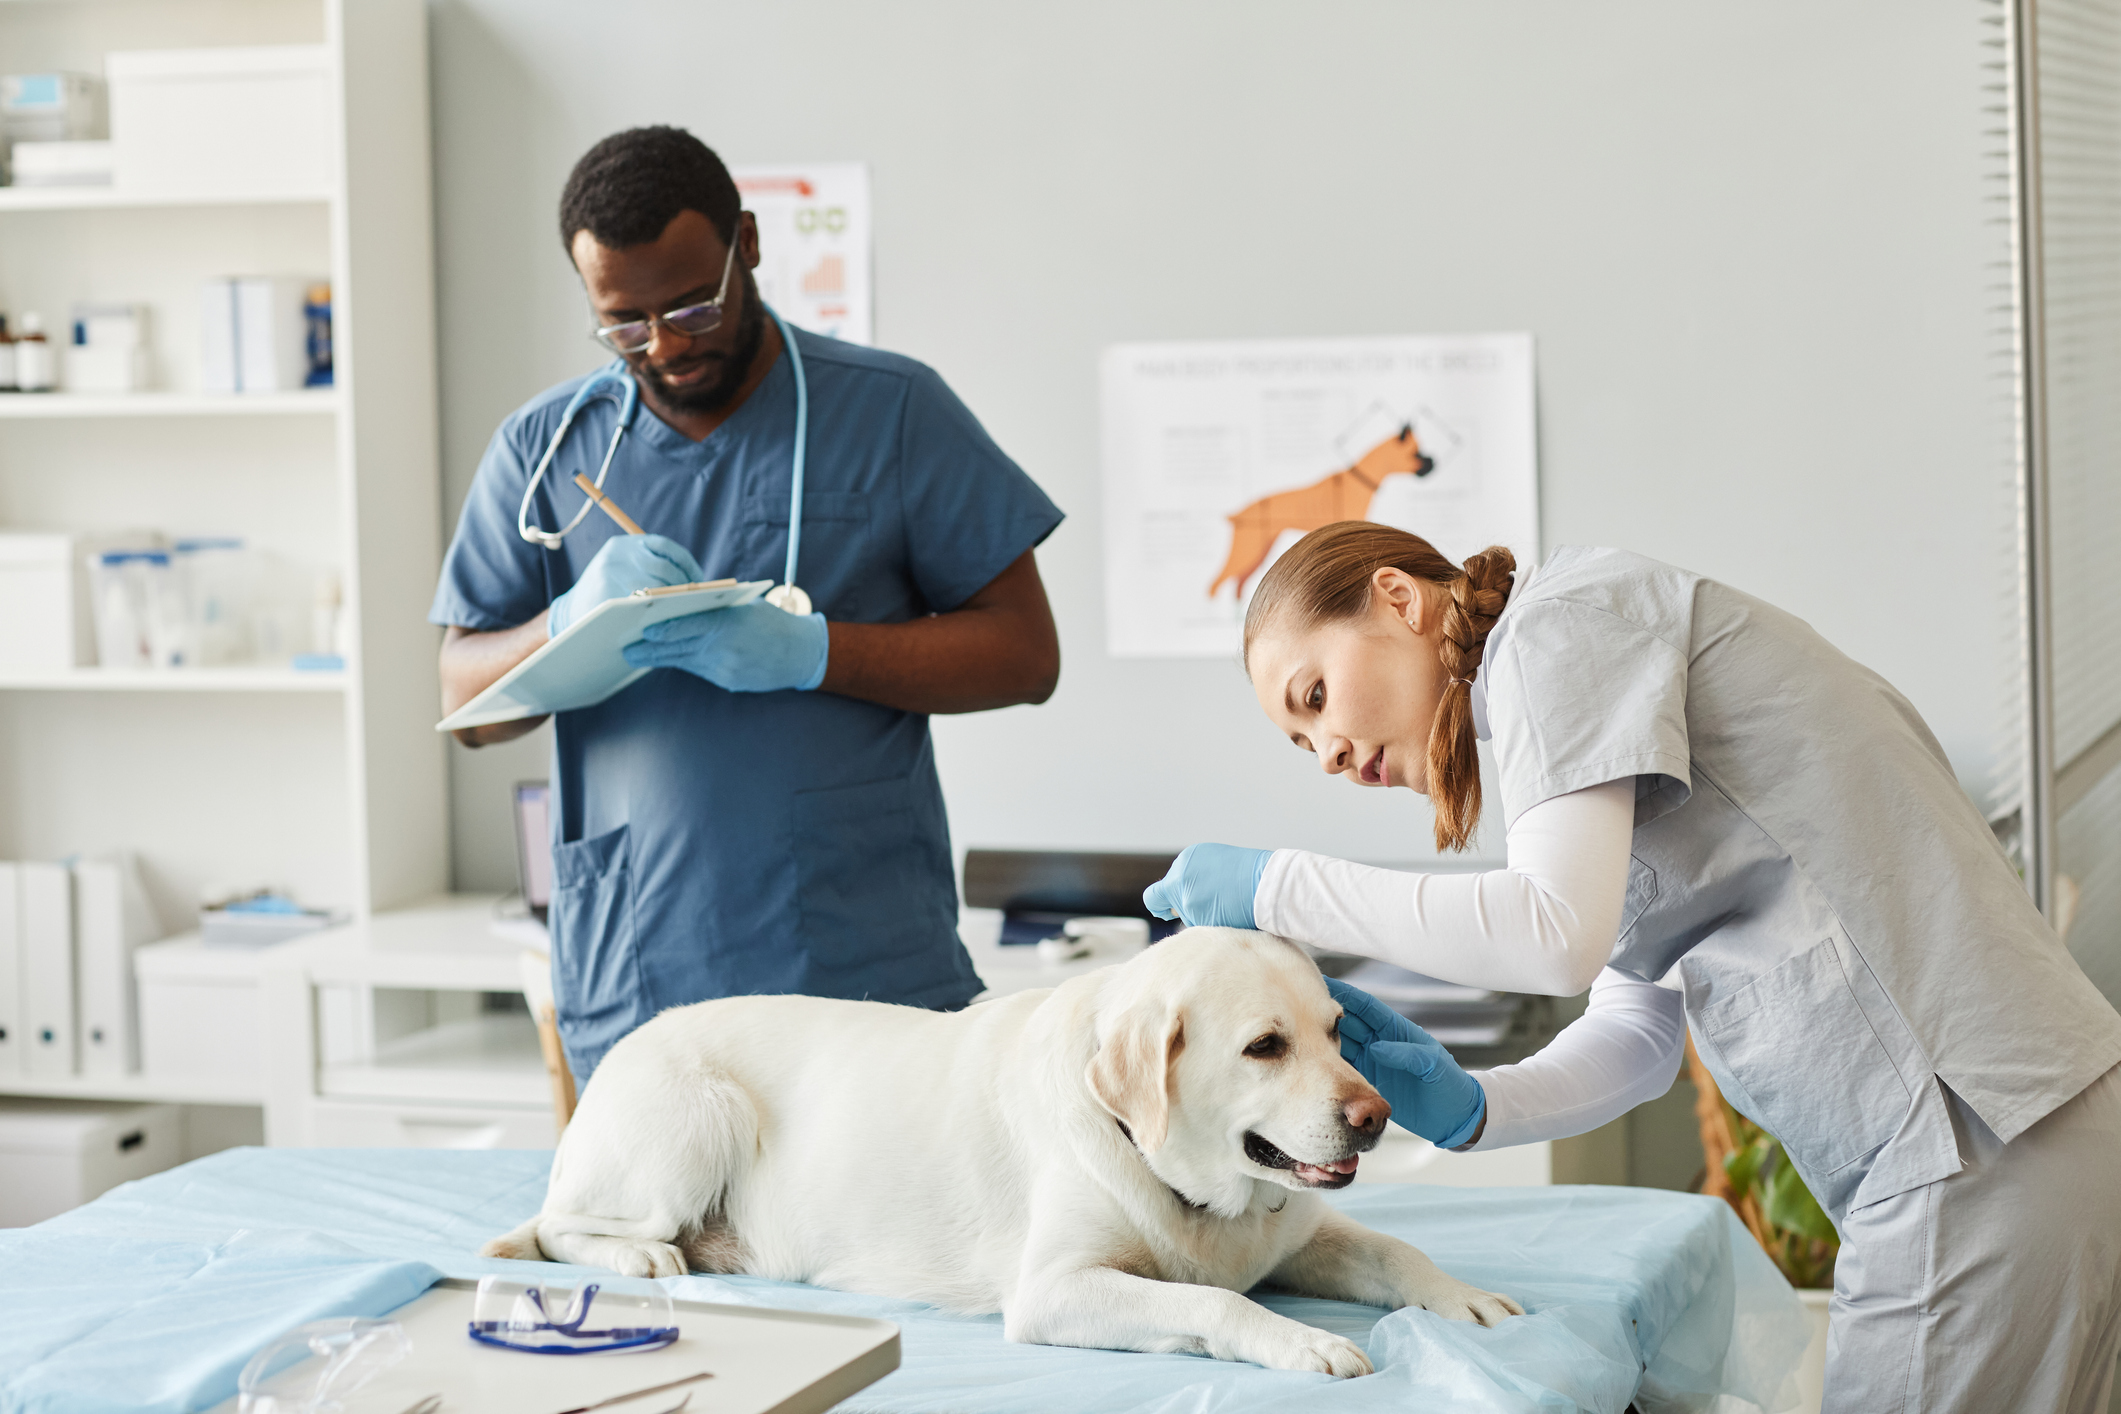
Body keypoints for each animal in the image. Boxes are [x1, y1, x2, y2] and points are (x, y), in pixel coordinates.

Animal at [485, 924, 1510, 1373]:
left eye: (1338, 1032)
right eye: (1265, 1046)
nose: (1377, 1114)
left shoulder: (1300, 1232)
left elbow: (1392, 1249)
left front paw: (1464, 1299)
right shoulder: (1054, 1289)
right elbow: (1213, 1303)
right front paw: (1301, 1341)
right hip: (697, 1118)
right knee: (557, 1227)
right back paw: (640, 1255)